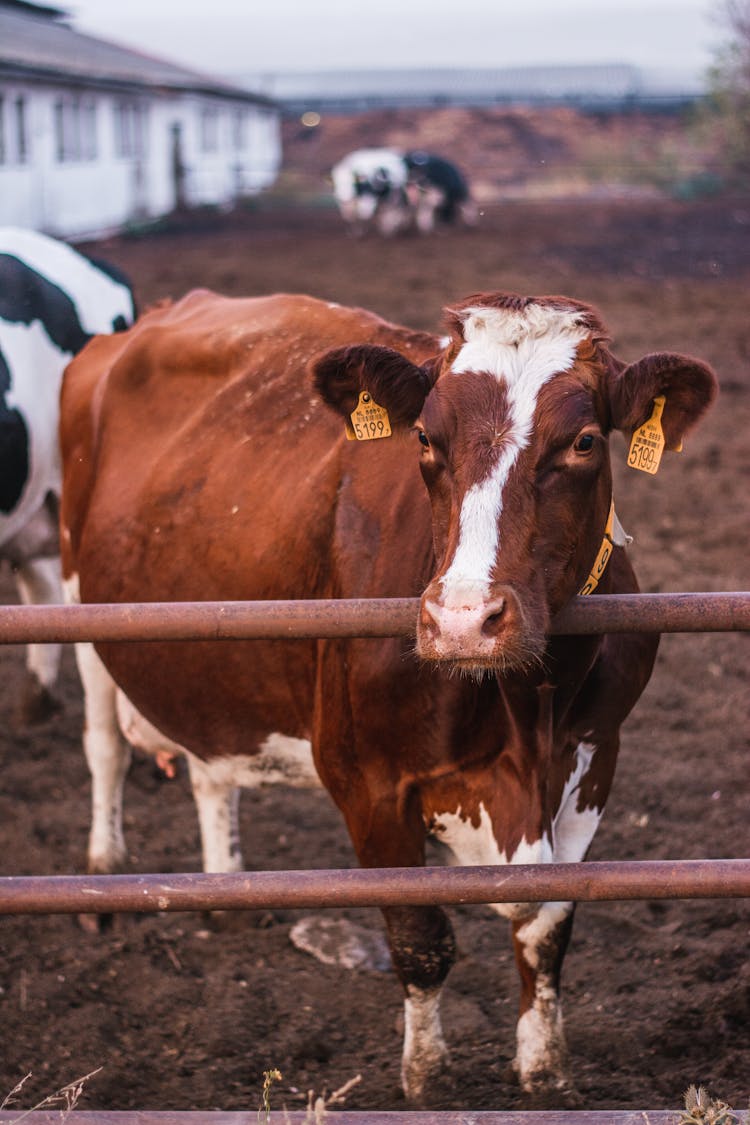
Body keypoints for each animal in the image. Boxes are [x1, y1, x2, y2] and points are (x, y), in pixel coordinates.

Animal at [58, 285, 715, 1102]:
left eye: (586, 441)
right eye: (426, 439)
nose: (463, 620)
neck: (524, 714)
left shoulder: (594, 757)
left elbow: (547, 925)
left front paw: (543, 1069)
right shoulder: (366, 780)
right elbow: (420, 937)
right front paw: (427, 1078)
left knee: (211, 766)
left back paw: (227, 886)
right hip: (81, 603)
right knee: (103, 746)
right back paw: (103, 875)